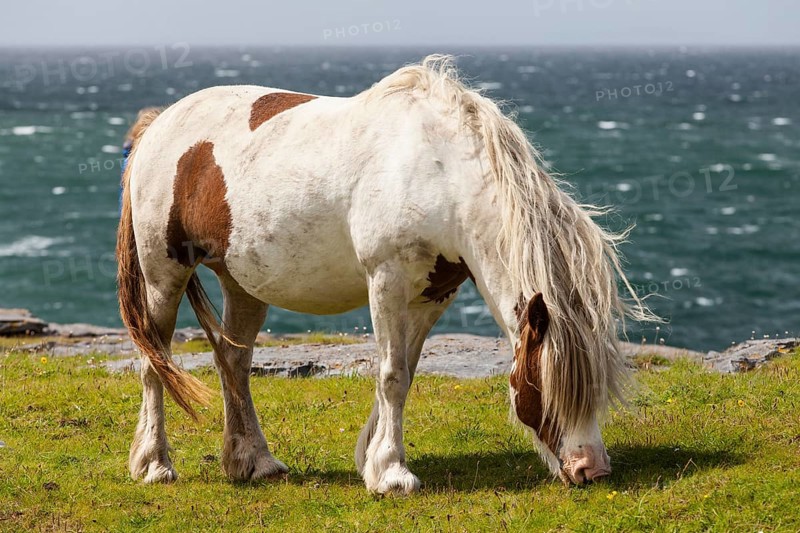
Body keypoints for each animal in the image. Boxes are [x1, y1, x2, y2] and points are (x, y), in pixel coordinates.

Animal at [116, 55, 648, 494]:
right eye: (552, 382)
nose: (592, 469)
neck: (440, 170)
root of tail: (158, 125)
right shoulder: (387, 279)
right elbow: (391, 374)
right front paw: (392, 473)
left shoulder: (433, 294)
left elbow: (404, 374)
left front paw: (372, 460)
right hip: (164, 275)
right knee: (154, 362)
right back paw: (154, 465)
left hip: (242, 283)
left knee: (233, 362)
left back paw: (253, 462)